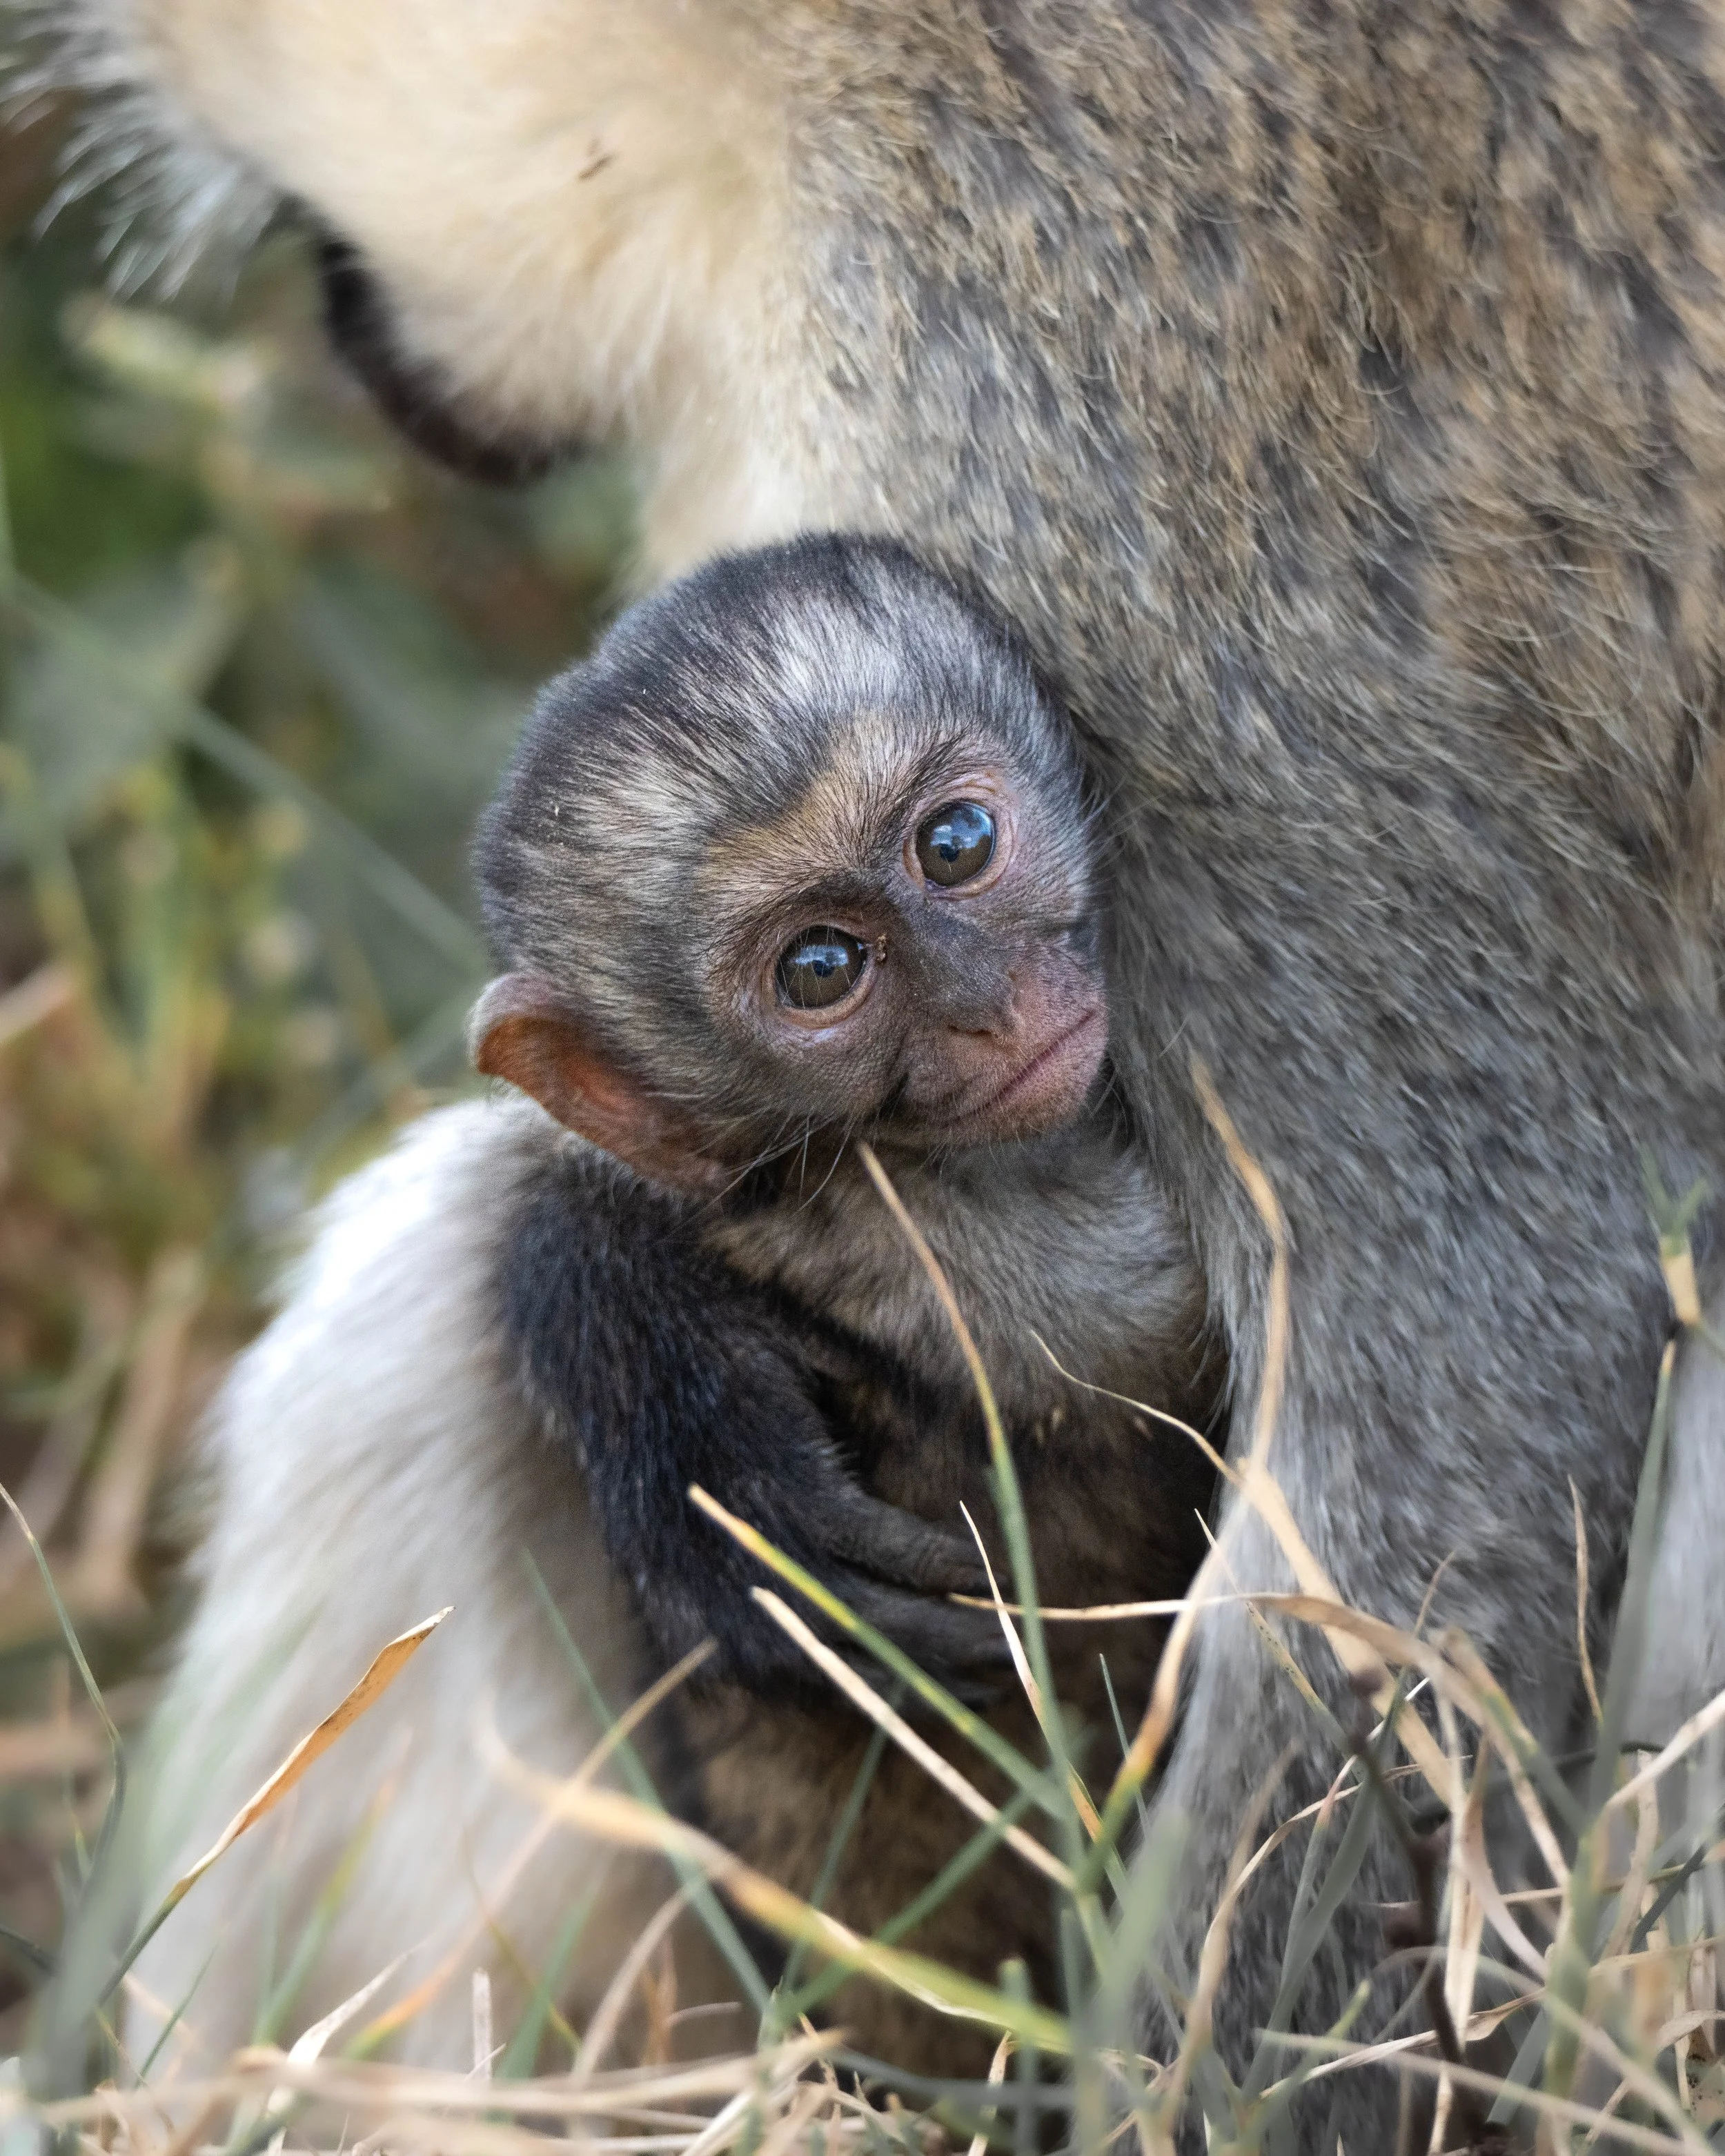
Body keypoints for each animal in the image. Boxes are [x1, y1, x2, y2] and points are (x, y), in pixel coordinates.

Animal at [25, 4, 1725, 2143]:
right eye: (822, 969)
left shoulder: (1077, 413)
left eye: (961, 845)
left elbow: (1439, 1460)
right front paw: (633, 1323)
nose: (352, 327)